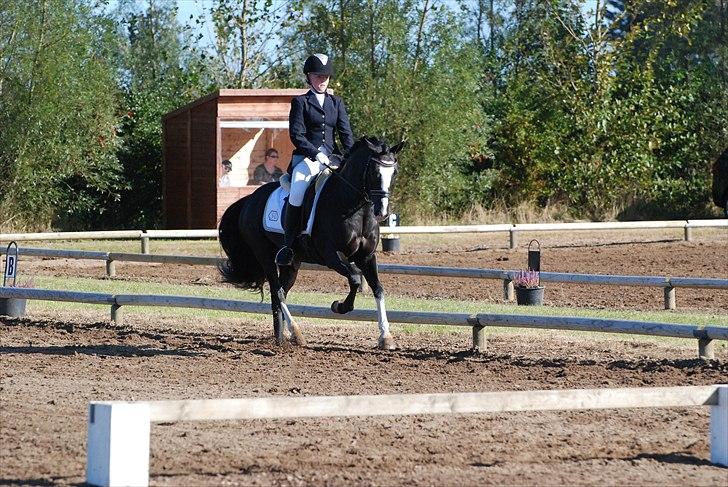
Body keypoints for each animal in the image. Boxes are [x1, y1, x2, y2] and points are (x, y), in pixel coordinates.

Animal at [219, 137, 406, 350]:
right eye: (375, 172)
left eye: (394, 172)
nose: (382, 212)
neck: (355, 208)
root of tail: (249, 199)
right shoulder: (331, 256)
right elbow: (355, 279)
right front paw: (340, 306)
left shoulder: (366, 257)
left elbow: (378, 288)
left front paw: (386, 337)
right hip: (264, 255)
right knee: (277, 290)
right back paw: (295, 333)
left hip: (292, 263)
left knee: (280, 292)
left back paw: (281, 337)